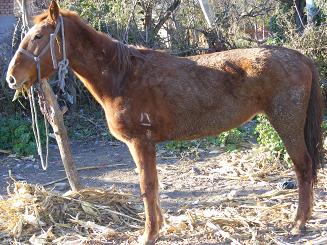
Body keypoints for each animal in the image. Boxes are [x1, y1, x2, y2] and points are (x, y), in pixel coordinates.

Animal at [6, 1, 324, 243]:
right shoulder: (145, 145)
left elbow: (147, 188)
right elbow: (153, 187)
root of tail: (300, 57)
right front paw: (157, 228)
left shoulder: (141, 143)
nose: (11, 78)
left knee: (303, 168)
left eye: (38, 36)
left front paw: (148, 235)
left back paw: (298, 224)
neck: (122, 75)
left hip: (286, 124)